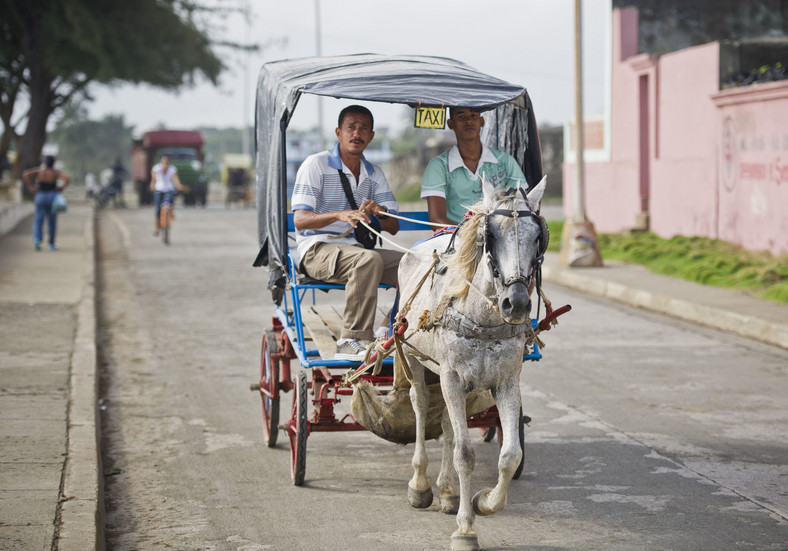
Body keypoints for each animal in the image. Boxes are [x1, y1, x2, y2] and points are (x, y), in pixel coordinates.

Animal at [398, 177, 544, 551]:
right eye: (489, 235)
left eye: (538, 235)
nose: (516, 303)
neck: (482, 318)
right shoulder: (450, 377)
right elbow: (465, 454)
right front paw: (465, 529)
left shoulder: (506, 383)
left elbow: (510, 456)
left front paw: (484, 502)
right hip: (415, 359)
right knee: (421, 406)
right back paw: (420, 485)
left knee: (448, 423)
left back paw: (449, 492)